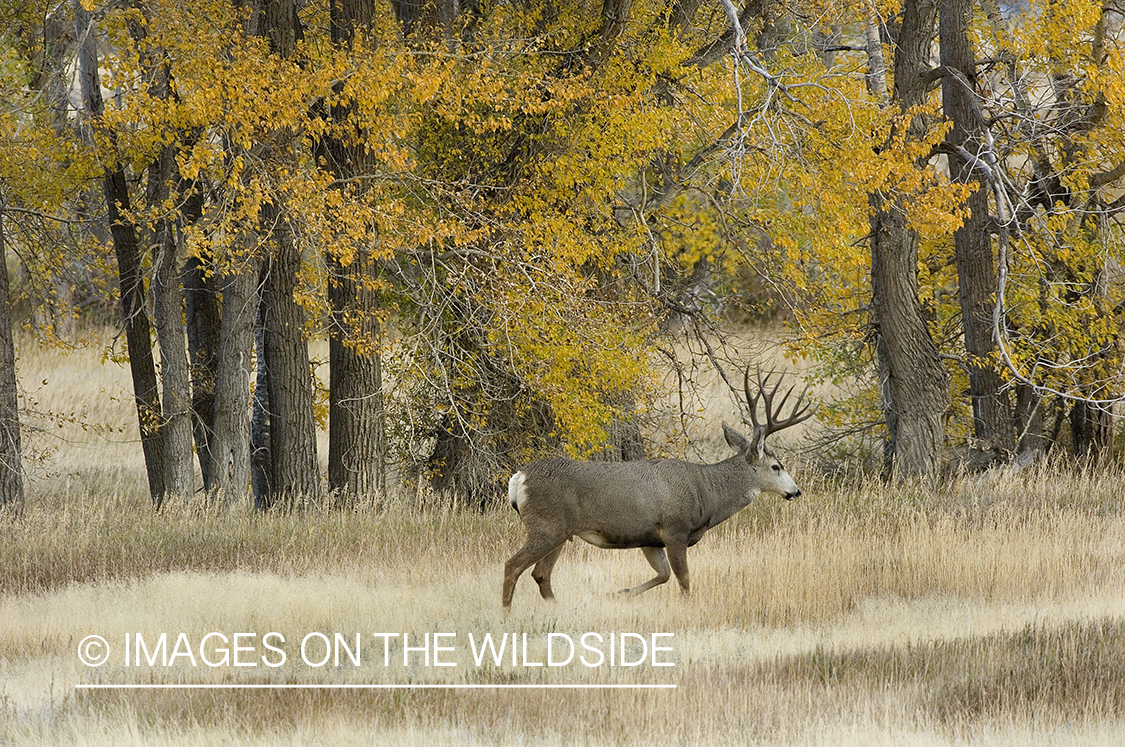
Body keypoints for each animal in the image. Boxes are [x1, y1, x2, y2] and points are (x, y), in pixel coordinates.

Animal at [502, 367, 812, 607]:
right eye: (776, 466)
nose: (796, 491)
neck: (706, 492)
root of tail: (519, 478)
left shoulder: (649, 538)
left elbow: (663, 575)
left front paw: (619, 593)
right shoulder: (675, 529)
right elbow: (684, 580)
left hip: (560, 532)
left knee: (541, 574)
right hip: (547, 526)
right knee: (513, 565)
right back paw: (506, 613)